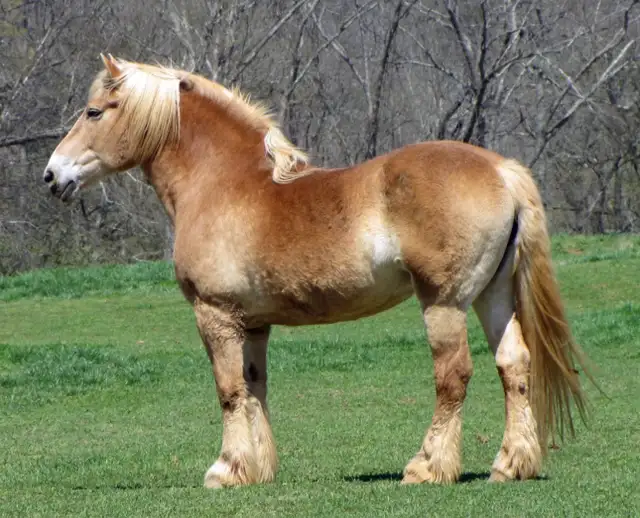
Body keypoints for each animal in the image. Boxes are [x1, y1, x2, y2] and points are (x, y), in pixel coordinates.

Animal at [43, 54, 589, 488]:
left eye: (93, 112)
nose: (52, 175)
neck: (224, 182)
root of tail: (501, 170)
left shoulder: (214, 314)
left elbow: (228, 391)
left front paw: (225, 470)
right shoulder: (252, 324)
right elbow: (254, 387)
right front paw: (257, 469)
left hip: (444, 303)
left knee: (453, 377)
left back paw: (427, 467)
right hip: (492, 296)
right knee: (513, 366)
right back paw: (510, 464)